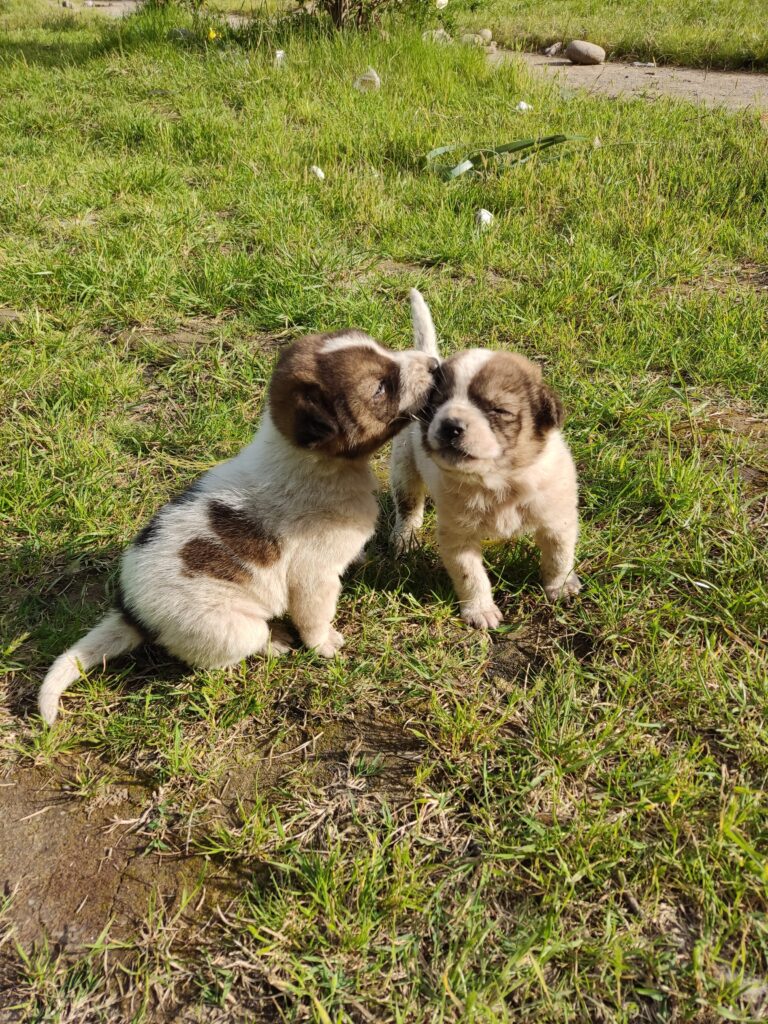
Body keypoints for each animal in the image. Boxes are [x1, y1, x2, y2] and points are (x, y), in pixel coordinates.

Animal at [40, 331, 438, 724]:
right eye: (380, 388)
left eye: (383, 349)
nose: (435, 365)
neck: (312, 462)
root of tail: (131, 612)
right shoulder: (313, 578)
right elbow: (314, 618)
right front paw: (324, 644)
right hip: (233, 628)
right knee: (244, 643)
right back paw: (274, 642)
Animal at [391, 292, 581, 626]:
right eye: (435, 406)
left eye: (498, 410)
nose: (450, 425)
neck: (500, 482)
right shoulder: (458, 536)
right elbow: (471, 576)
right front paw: (480, 610)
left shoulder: (558, 521)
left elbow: (559, 557)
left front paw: (560, 588)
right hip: (404, 466)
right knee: (409, 507)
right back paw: (405, 539)